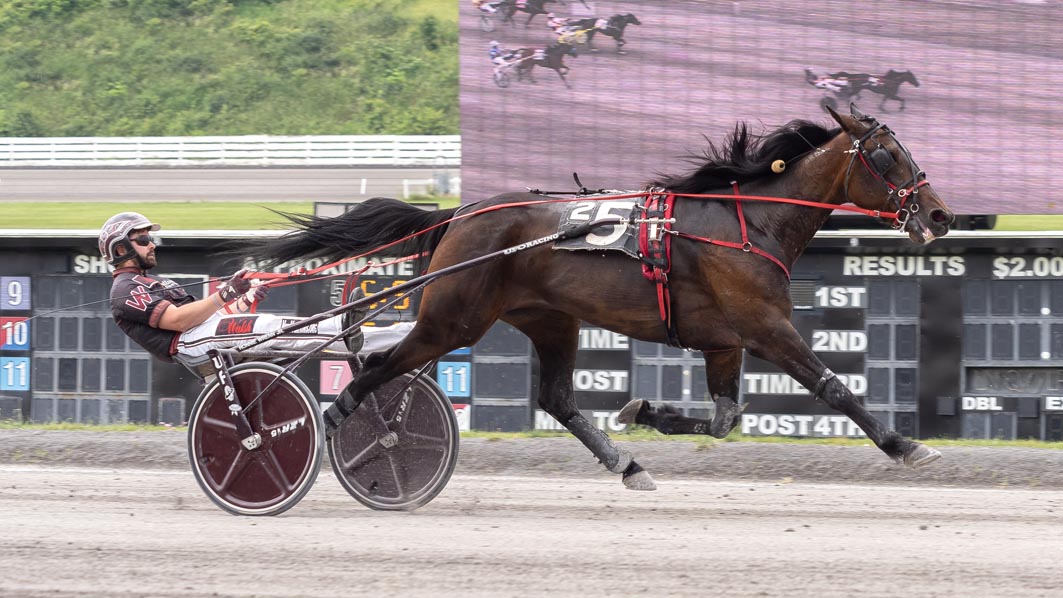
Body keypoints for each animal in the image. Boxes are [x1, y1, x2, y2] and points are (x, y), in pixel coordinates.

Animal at [254, 105, 955, 491]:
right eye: (887, 156)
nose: (941, 214)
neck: (747, 222)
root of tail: (463, 214)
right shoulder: (765, 327)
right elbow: (833, 388)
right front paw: (905, 445)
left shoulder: (723, 341)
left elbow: (724, 418)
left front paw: (643, 410)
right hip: (453, 318)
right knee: (375, 368)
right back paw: (328, 432)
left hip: (547, 320)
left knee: (558, 399)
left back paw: (627, 464)